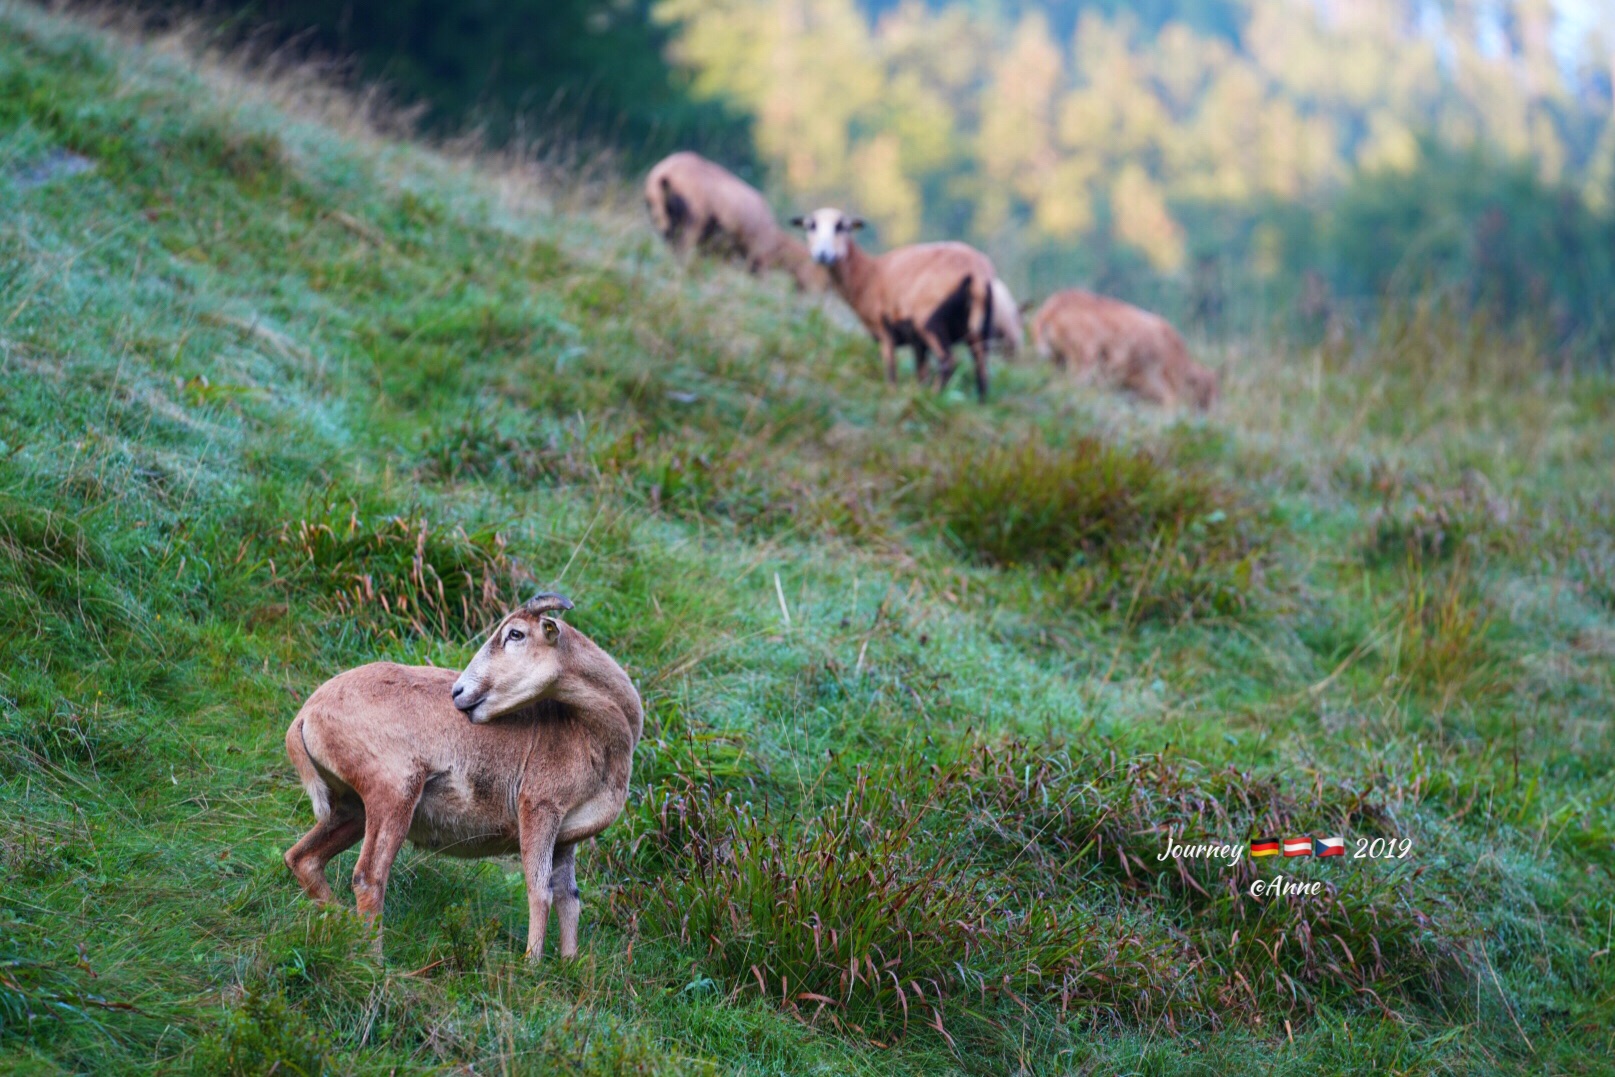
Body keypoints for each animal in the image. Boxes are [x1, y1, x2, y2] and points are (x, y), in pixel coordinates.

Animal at [284, 594, 642, 962]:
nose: (458, 692)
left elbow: (569, 898)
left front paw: (569, 963)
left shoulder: (566, 837)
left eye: (515, 634)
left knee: (303, 859)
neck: (587, 732)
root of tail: (306, 716)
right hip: (393, 794)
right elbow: (539, 889)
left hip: (352, 809)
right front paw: (532, 964)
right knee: (368, 877)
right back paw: (375, 961)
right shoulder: (539, 809)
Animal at [642, 149, 826, 290]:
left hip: (663, 219)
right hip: (691, 220)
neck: (777, 242)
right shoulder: (759, 256)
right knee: (682, 251)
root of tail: (663, 175)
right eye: (816, 268)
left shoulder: (718, 252)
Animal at [794, 206, 994, 400]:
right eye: (810, 226)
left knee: (948, 361)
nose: (823, 255)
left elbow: (891, 370)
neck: (867, 275)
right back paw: (980, 403)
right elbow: (921, 373)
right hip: (978, 328)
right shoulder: (916, 341)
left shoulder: (884, 330)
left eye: (842, 226)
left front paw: (893, 394)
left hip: (930, 321)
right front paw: (916, 395)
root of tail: (977, 273)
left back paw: (934, 396)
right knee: (982, 369)